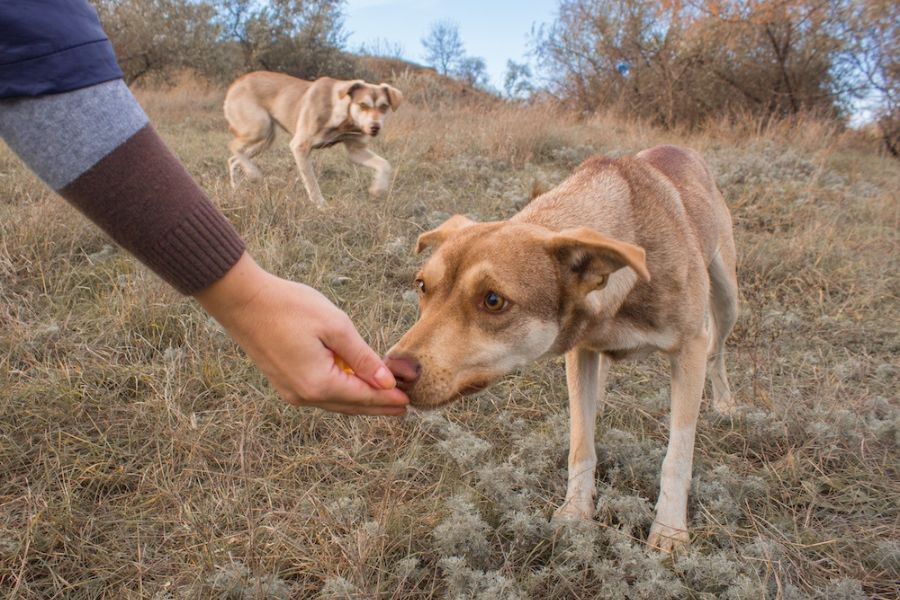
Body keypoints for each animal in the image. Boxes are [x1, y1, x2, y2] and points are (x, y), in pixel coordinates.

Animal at [225, 71, 404, 207]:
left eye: (384, 107)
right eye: (362, 105)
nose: (375, 127)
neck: (343, 119)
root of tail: (236, 83)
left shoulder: (356, 151)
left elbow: (385, 165)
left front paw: (378, 189)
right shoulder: (300, 146)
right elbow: (311, 182)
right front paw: (321, 205)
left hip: (266, 138)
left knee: (233, 160)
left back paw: (237, 190)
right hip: (259, 128)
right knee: (233, 146)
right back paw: (253, 173)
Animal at [386, 145, 740, 552]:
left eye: (493, 300)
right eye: (422, 285)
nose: (393, 370)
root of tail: (681, 149)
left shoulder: (688, 350)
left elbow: (677, 456)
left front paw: (668, 530)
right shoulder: (581, 353)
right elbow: (581, 442)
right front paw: (576, 512)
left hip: (727, 299)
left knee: (717, 349)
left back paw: (725, 404)